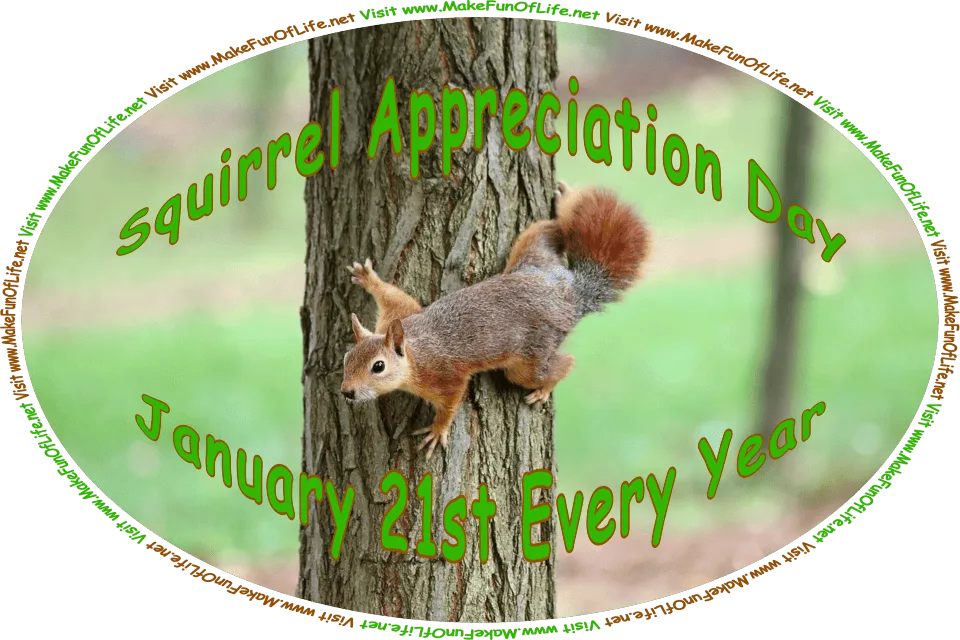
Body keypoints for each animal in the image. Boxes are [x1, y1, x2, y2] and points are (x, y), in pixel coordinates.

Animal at [340, 182, 651, 458]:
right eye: (346, 358)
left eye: (378, 367)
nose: (347, 392)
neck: (415, 353)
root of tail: (571, 294)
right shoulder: (401, 315)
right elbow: (395, 296)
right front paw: (368, 278)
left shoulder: (445, 375)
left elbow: (451, 401)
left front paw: (437, 431)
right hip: (534, 252)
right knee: (549, 228)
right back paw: (566, 199)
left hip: (529, 359)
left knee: (561, 365)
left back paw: (545, 388)